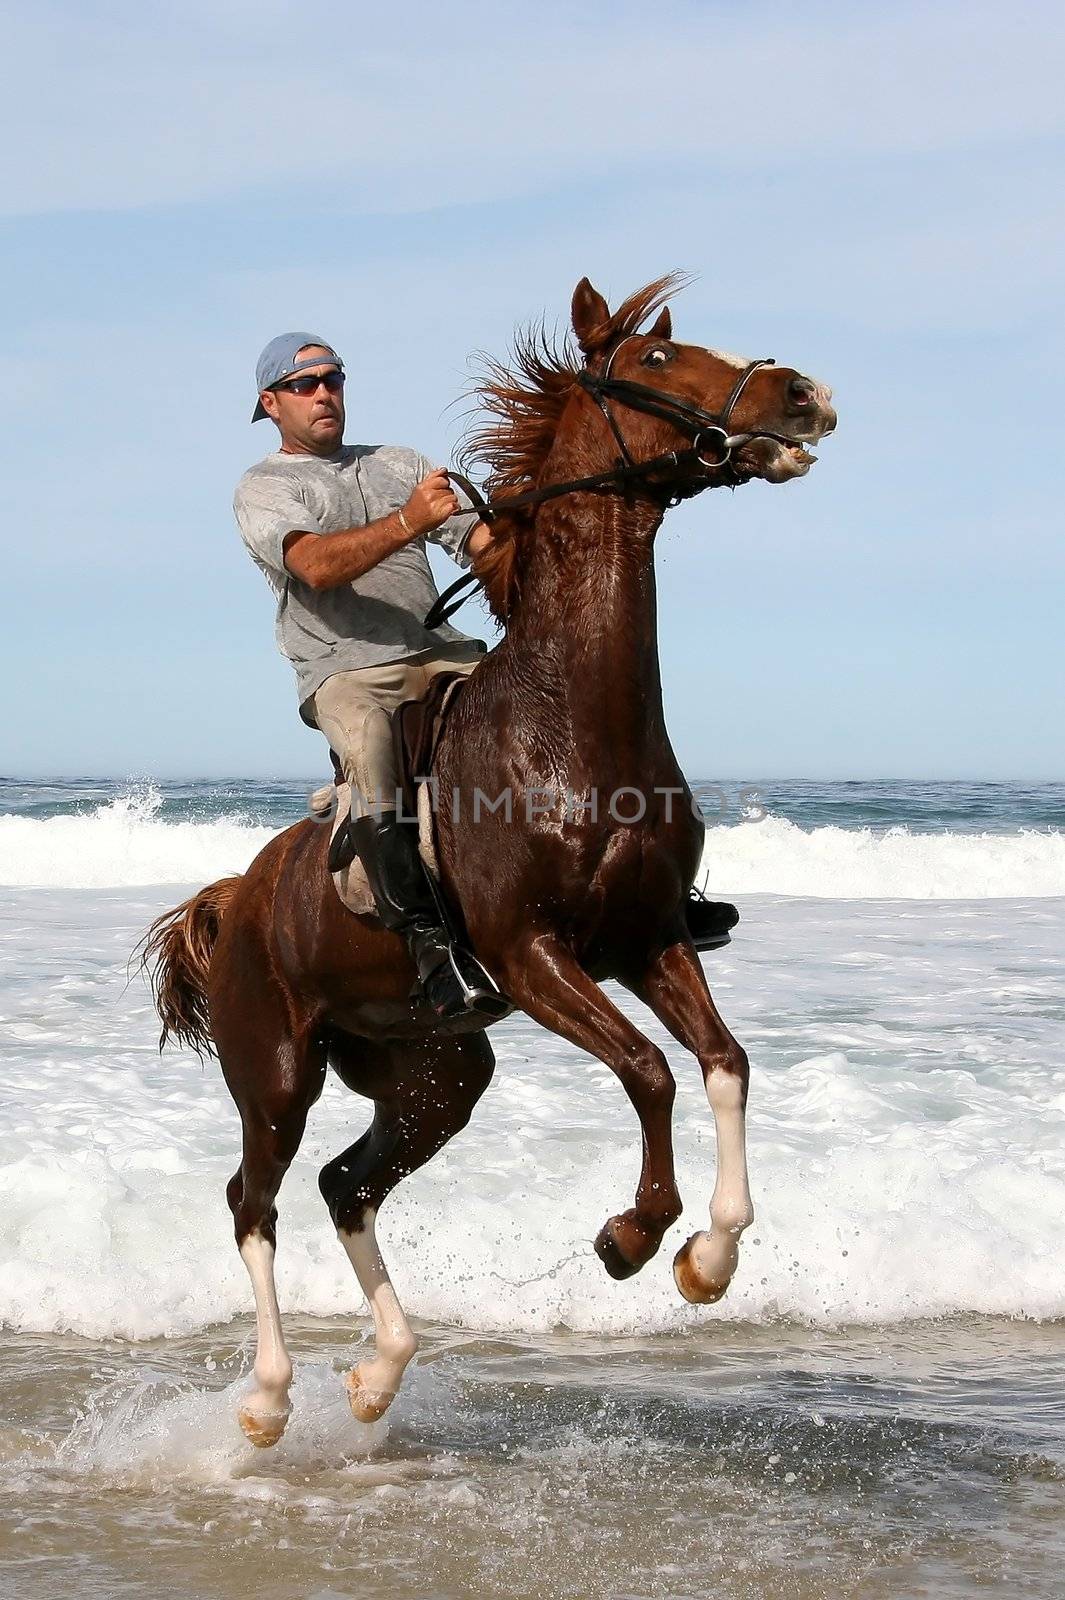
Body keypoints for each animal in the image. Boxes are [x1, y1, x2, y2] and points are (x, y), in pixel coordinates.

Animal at [145, 275, 831, 1452]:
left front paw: (709, 1258)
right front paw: (633, 1236)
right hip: (276, 1071)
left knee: (345, 1184)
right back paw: (271, 1398)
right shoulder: (530, 956)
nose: (803, 394)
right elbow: (650, 1072)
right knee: (254, 1200)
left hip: (439, 1074)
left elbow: (724, 1063)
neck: (573, 719)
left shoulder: (648, 941)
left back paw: (377, 1375)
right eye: (656, 359)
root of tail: (237, 898)